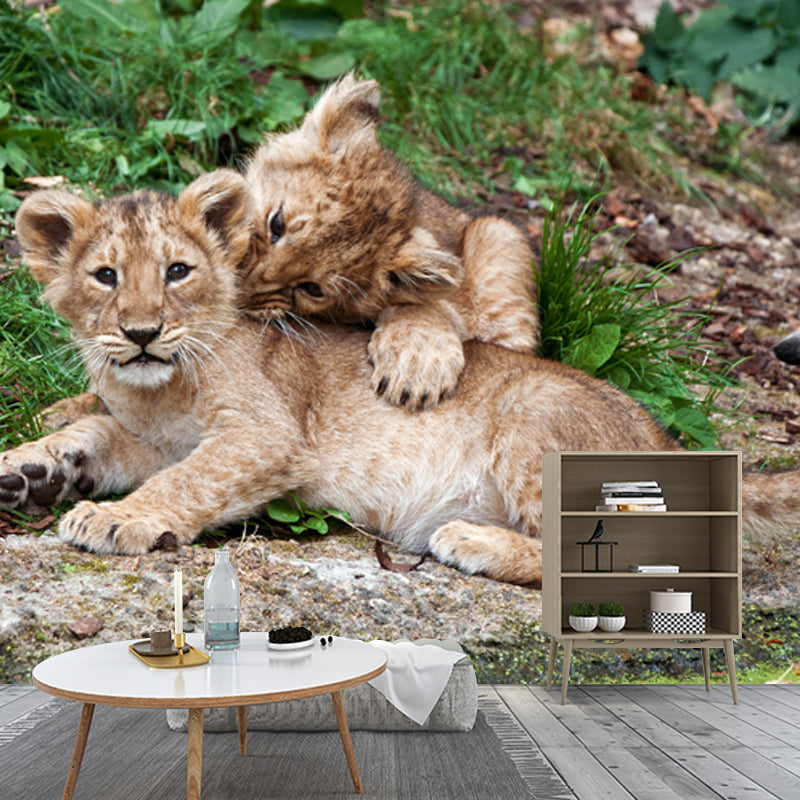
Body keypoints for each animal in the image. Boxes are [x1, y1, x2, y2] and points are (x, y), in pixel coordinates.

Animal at [3, 170, 797, 584]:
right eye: (105, 277)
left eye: (177, 271)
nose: (140, 333)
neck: (160, 387)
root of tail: (670, 445)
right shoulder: (149, 437)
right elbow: (99, 432)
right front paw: (33, 468)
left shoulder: (269, 435)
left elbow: (190, 480)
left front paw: (115, 519)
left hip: (535, 415)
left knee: (607, 558)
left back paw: (467, 541)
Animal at [241, 74, 538, 410]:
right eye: (276, 224)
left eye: (312, 289)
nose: (239, 292)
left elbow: (426, 309)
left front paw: (417, 369)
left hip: (498, 233)